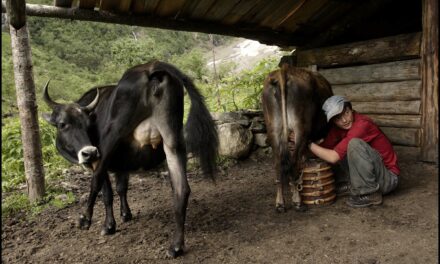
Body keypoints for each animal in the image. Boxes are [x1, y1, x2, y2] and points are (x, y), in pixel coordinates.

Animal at [43, 60, 218, 258]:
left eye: (87, 123)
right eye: (63, 124)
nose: (89, 152)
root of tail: (152, 67)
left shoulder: (101, 161)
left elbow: (106, 192)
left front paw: (109, 226)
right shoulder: (123, 166)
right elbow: (121, 188)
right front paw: (126, 214)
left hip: (114, 134)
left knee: (96, 181)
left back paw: (85, 219)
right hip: (173, 141)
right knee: (182, 189)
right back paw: (176, 247)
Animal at [262, 64, 334, 212]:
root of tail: (283, 71)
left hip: (273, 129)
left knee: (278, 164)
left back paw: (280, 203)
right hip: (300, 128)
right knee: (294, 162)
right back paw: (298, 202)